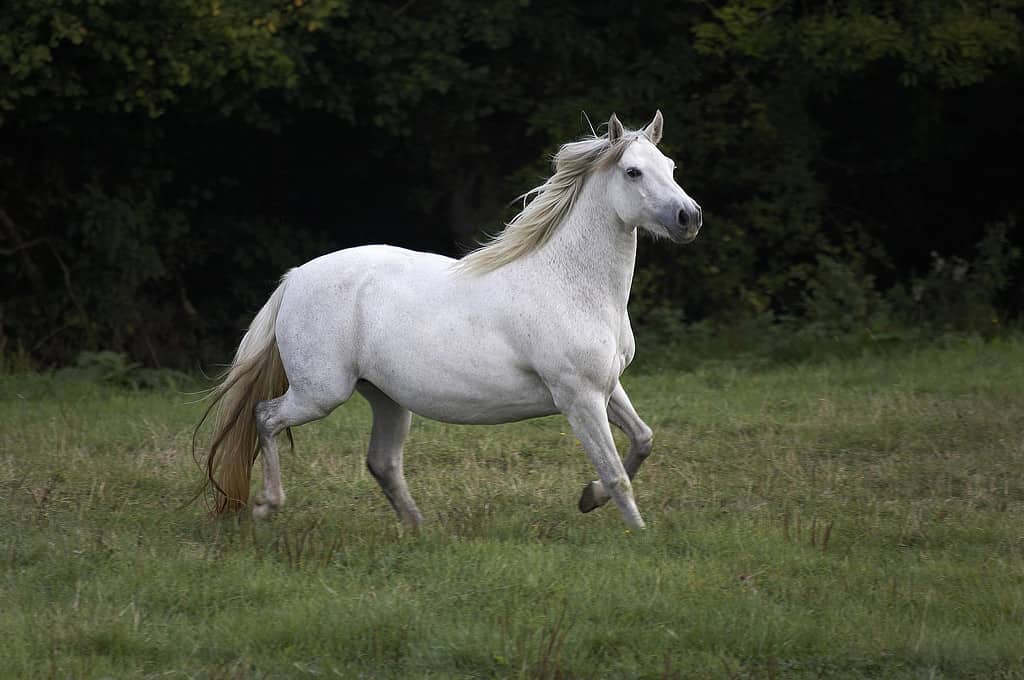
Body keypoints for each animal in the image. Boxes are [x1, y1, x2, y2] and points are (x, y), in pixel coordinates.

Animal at [196, 111, 702, 530]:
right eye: (633, 171)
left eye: (671, 166)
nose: (689, 217)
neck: (569, 284)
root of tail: (296, 277)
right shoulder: (579, 397)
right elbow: (616, 473)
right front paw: (638, 534)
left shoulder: (606, 387)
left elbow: (643, 439)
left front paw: (588, 499)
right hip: (321, 393)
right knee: (265, 418)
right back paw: (268, 505)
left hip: (385, 397)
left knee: (382, 462)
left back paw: (419, 530)